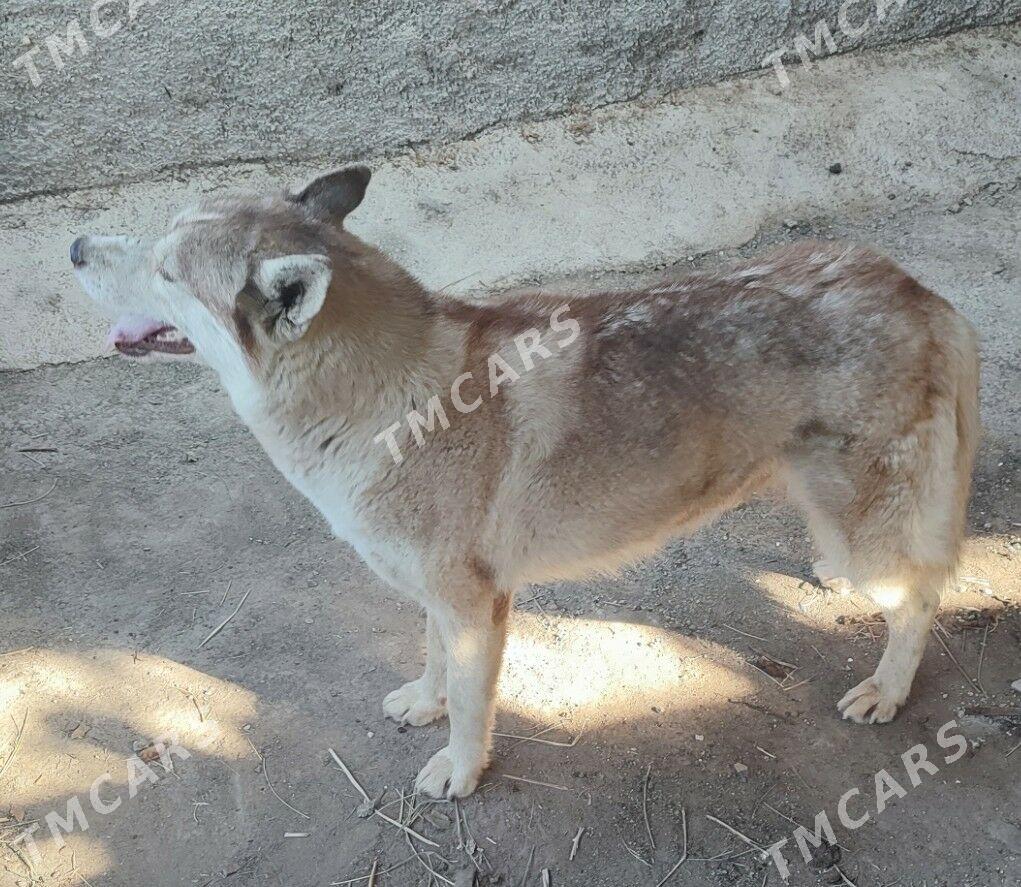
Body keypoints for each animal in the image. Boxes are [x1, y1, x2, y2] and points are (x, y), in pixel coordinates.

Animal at [71, 164, 980, 796]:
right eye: (159, 242)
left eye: (168, 270)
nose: (74, 246)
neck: (390, 392)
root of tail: (918, 293)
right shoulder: (440, 595)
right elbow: (434, 660)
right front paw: (425, 702)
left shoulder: (477, 604)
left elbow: (474, 703)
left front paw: (459, 768)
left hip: (874, 539)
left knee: (920, 597)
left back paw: (886, 688)